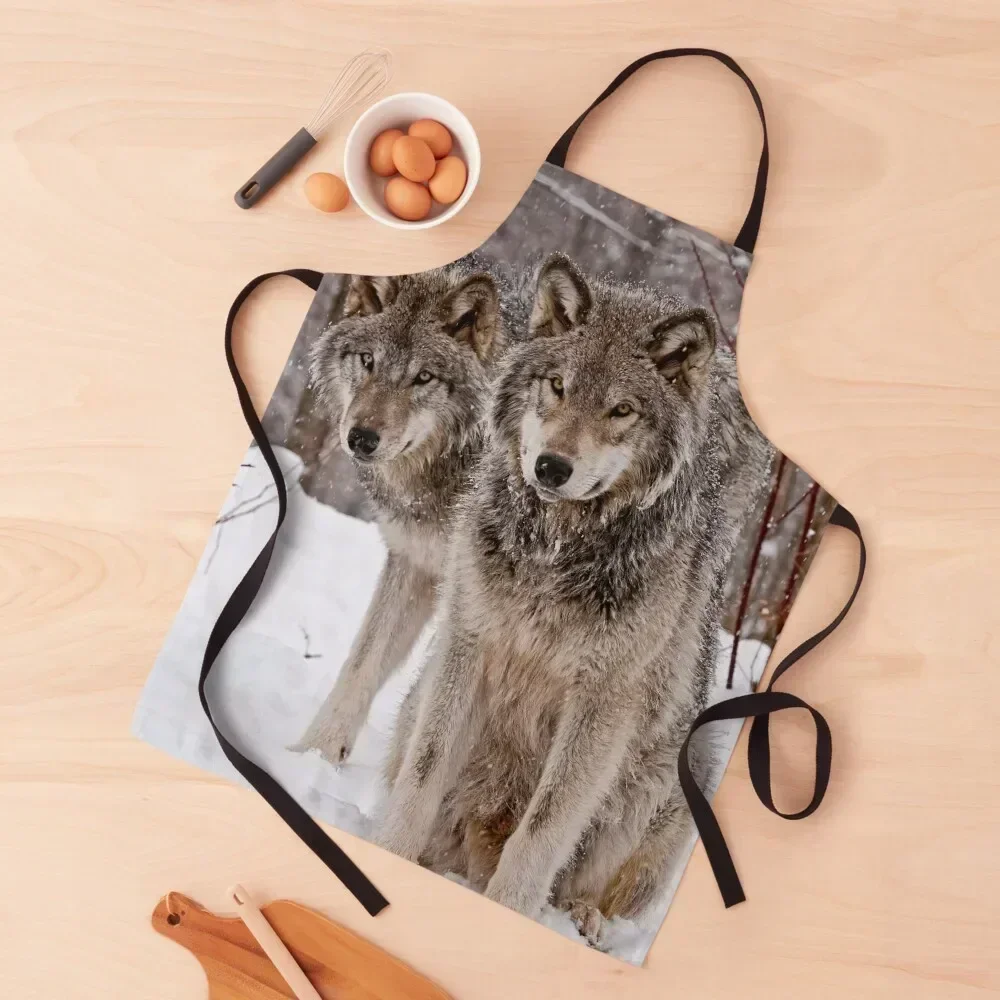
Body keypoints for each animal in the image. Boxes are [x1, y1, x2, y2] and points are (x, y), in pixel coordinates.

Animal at [291, 258, 520, 766]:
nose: (360, 438)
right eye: (368, 361)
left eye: (424, 378)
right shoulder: (415, 563)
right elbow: (362, 662)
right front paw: (314, 755)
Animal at [377, 253, 772, 936]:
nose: (551, 467)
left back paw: (583, 920)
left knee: (586, 891)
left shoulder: (602, 703)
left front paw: (506, 915)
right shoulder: (467, 644)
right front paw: (386, 857)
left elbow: (542, 830)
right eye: (557, 386)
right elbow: (423, 774)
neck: (555, 551)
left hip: (691, 759)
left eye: (621, 411)